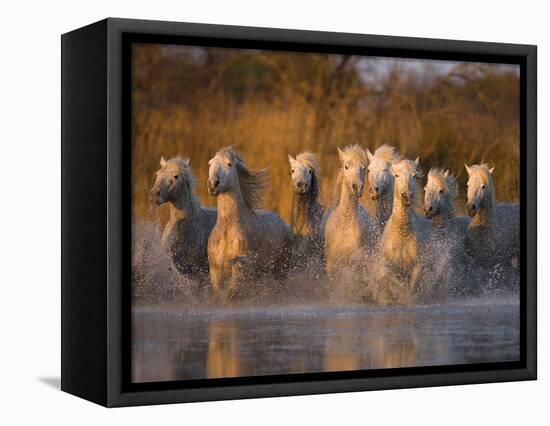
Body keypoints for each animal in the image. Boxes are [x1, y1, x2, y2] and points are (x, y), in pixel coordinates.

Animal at [208, 148, 294, 302]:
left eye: (229, 164)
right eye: (210, 163)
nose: (213, 184)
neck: (227, 229)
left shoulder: (241, 267)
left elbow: (232, 293)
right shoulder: (215, 271)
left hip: (280, 269)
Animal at [326, 145, 378, 274]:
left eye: (364, 168)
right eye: (346, 166)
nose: (357, 187)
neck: (344, 226)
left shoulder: (353, 264)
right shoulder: (330, 265)